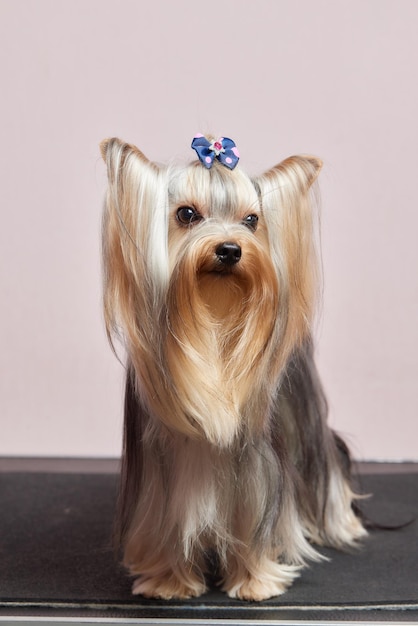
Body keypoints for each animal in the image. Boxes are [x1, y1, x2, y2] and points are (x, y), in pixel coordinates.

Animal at [99, 133, 366, 600]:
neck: (214, 317)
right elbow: (168, 519)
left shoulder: (258, 466)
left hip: (306, 418)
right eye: (187, 214)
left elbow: (255, 515)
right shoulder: (161, 470)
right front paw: (169, 580)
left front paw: (255, 580)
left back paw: (342, 523)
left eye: (251, 220)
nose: (229, 249)